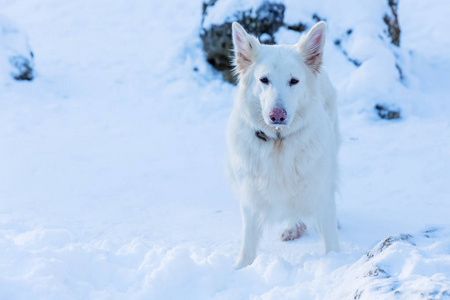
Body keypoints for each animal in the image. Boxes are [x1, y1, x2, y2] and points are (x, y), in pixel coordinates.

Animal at [227, 21, 340, 270]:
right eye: (264, 80)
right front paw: (241, 268)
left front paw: (335, 263)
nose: (277, 115)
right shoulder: (250, 197)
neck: (277, 142)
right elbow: (248, 242)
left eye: (293, 81)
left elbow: (329, 237)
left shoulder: (321, 192)